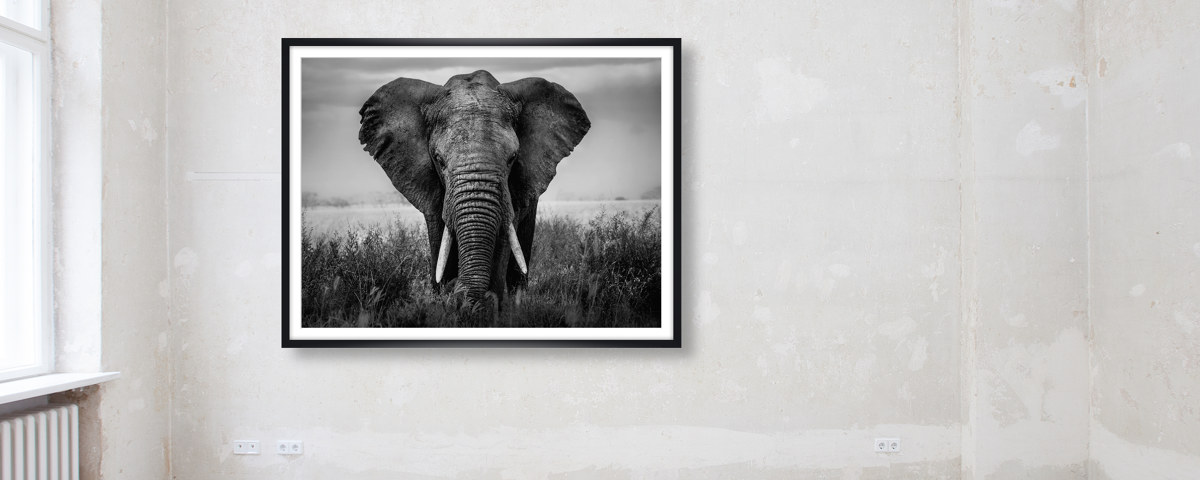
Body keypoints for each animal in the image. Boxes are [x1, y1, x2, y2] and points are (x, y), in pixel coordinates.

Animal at [358, 69, 590, 323]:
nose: (457, 291)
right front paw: (447, 303)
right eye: (439, 160)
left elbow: (502, 238)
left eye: (512, 158)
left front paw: (488, 310)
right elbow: (440, 238)